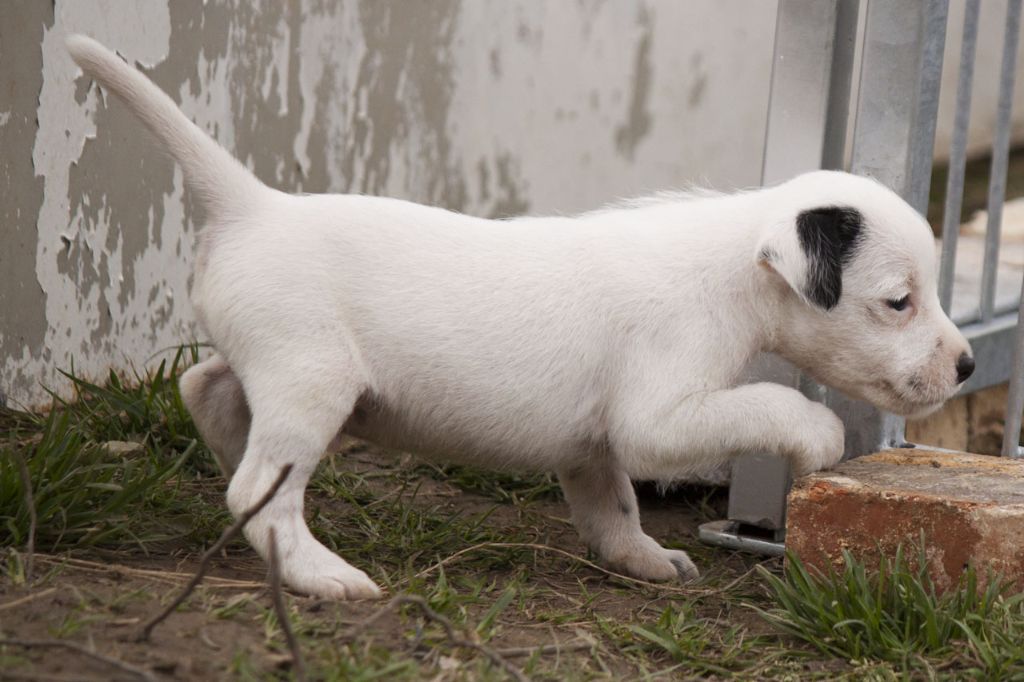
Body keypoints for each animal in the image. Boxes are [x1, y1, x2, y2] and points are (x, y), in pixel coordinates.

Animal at [67, 34, 974, 600]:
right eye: (899, 301)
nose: (966, 366)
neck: (733, 261)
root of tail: (255, 207)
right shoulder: (660, 417)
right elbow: (767, 404)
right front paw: (821, 436)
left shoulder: (595, 446)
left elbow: (612, 507)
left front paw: (642, 559)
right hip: (310, 378)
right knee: (261, 482)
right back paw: (320, 572)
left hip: (282, 371)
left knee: (208, 391)